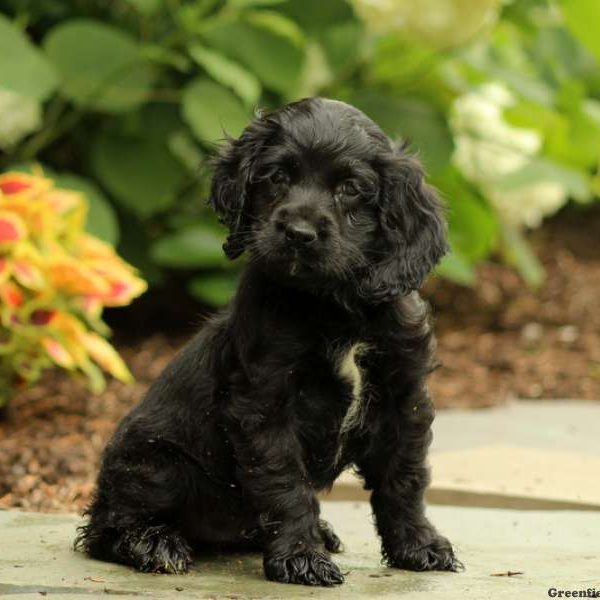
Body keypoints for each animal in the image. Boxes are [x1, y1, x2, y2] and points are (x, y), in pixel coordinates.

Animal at [75, 97, 460, 584]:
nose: (298, 233)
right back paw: (154, 544)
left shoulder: (402, 395)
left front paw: (419, 545)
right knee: (104, 526)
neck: (333, 305)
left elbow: (404, 477)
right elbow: (285, 483)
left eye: (351, 188)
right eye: (277, 176)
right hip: (158, 466)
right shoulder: (265, 402)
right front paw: (301, 557)